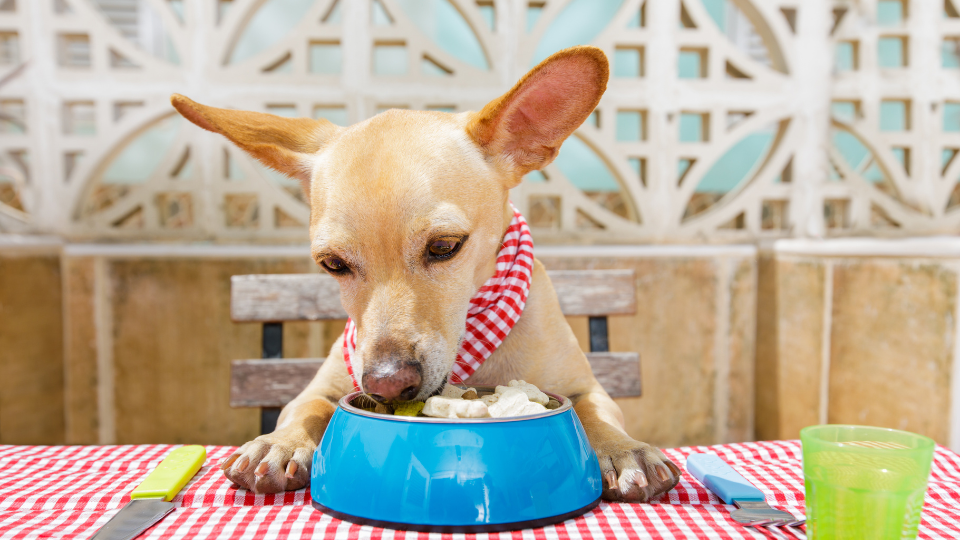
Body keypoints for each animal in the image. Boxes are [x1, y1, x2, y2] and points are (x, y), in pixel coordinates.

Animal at [172, 45, 684, 502]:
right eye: (332, 264)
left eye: (444, 247)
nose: (384, 383)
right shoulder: (320, 388)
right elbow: (309, 407)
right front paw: (278, 444)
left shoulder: (588, 388)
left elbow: (593, 413)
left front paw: (623, 450)